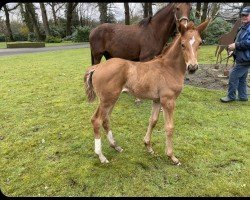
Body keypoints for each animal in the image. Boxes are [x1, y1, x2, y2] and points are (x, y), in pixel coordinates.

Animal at [84, 19, 211, 164]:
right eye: (182, 44)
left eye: (200, 43)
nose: (193, 67)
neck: (169, 68)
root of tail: (97, 67)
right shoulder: (168, 100)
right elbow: (169, 127)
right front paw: (172, 156)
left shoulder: (157, 100)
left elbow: (153, 121)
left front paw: (148, 147)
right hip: (107, 99)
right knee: (96, 120)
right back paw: (101, 156)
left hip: (111, 99)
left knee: (105, 119)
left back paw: (115, 146)